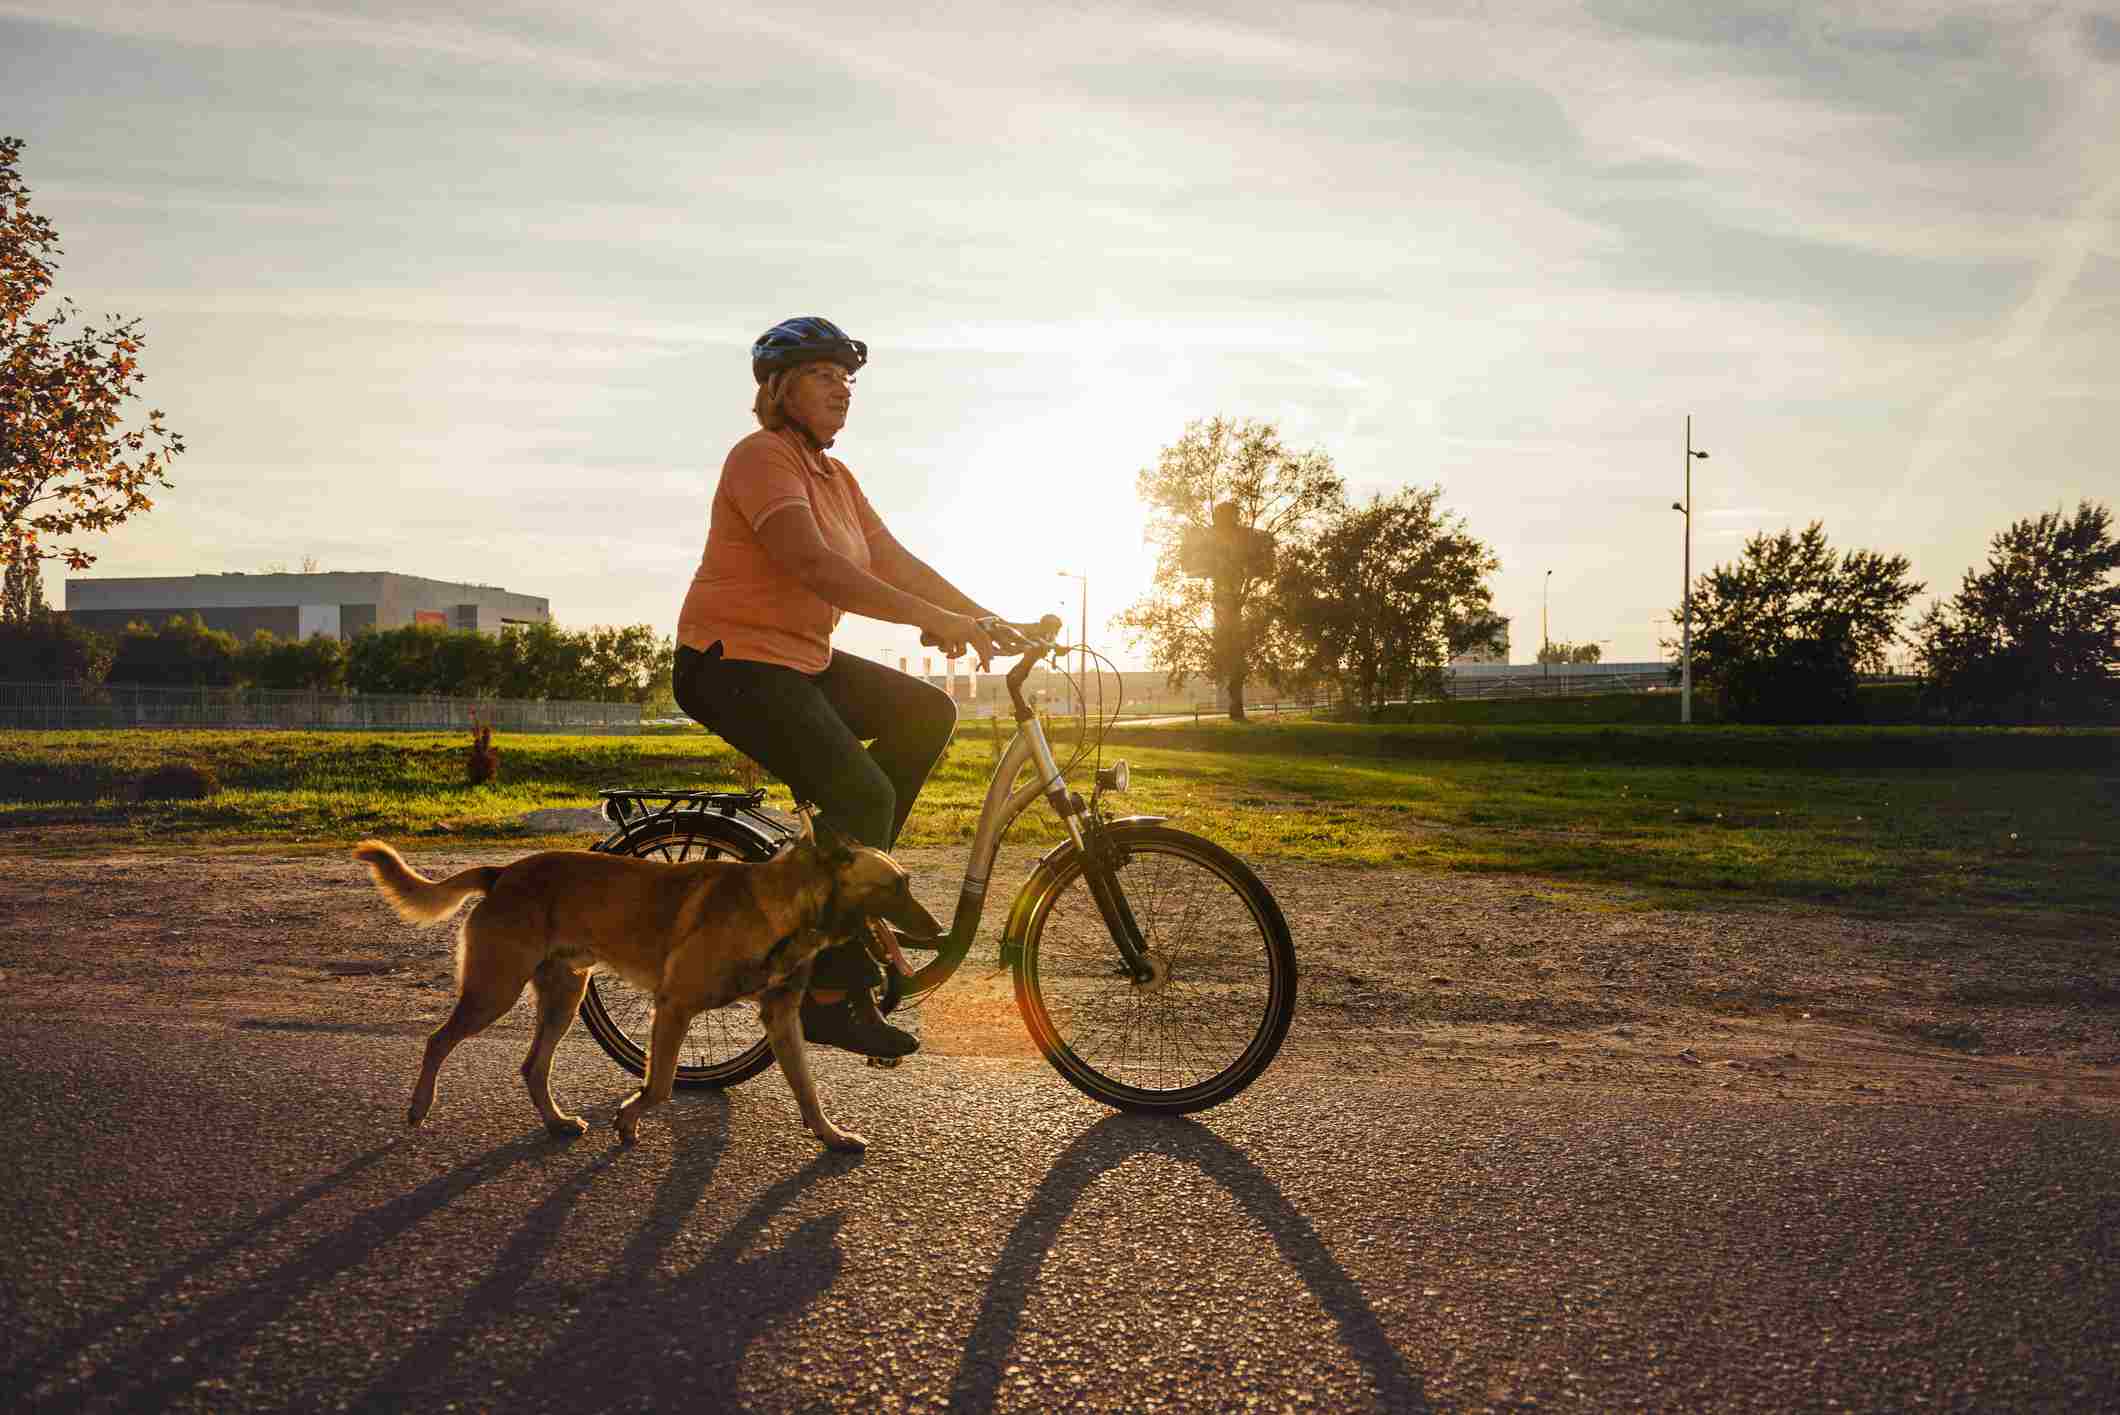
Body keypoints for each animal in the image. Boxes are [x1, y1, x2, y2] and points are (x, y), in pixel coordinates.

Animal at [351, 831, 941, 1154]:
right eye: (897, 885)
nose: (937, 930)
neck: (781, 909)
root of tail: (503, 872)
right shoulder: (674, 1008)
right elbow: (658, 1086)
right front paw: (629, 1119)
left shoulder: (781, 1020)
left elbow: (808, 1092)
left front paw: (832, 1136)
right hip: (494, 991)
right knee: (437, 1040)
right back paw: (419, 1107)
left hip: (564, 998)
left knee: (533, 1067)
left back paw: (556, 1121)